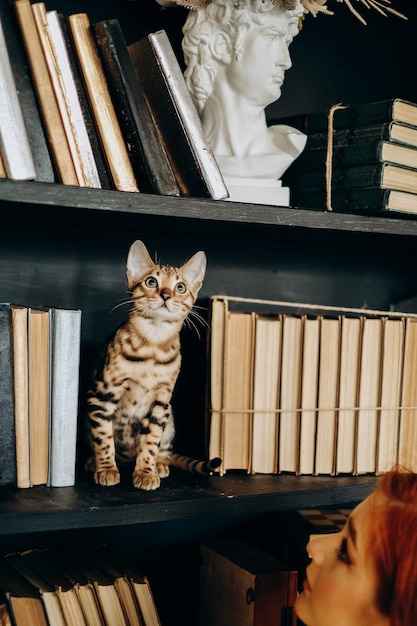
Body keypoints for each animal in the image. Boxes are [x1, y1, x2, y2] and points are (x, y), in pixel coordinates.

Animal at [85, 239, 210, 488]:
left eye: (180, 287)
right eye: (151, 282)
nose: (166, 295)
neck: (152, 346)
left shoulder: (160, 401)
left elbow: (151, 441)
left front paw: (145, 472)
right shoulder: (102, 396)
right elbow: (103, 437)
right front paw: (106, 469)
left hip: (169, 416)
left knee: (164, 447)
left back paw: (160, 464)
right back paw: (94, 462)